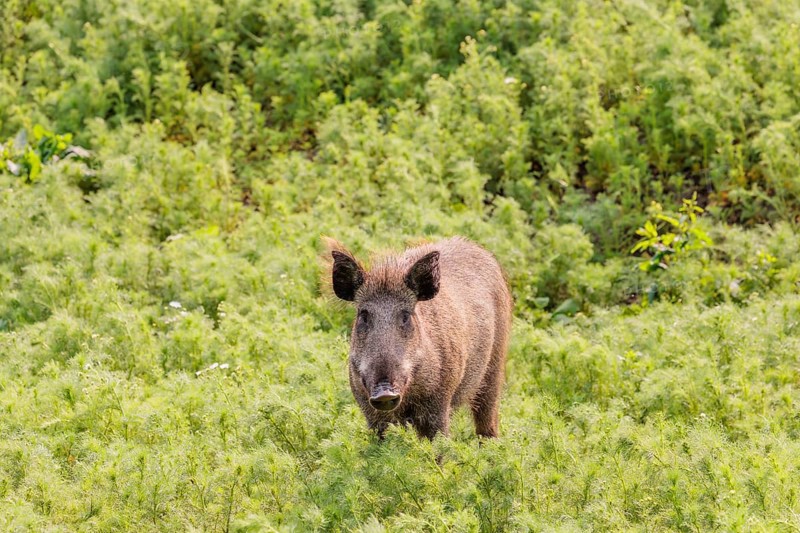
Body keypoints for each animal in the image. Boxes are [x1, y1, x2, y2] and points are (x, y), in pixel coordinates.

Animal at [326, 237, 513, 439]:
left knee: (487, 420)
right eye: (363, 315)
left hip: (495, 365)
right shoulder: (370, 411)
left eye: (406, 315)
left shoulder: (439, 405)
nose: (384, 393)